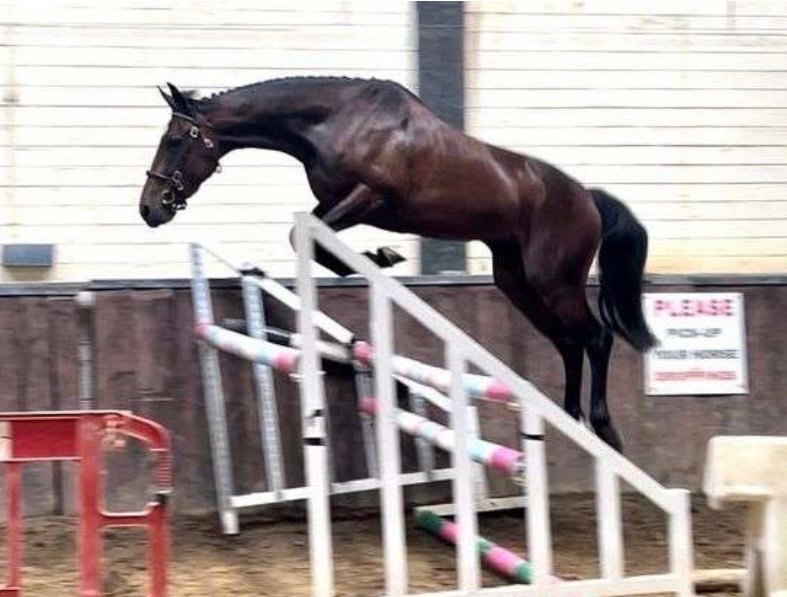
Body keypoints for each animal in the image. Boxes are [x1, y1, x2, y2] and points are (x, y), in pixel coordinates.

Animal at [139, 77, 657, 452]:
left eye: (175, 140)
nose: (150, 208)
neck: (333, 120)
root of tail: (588, 198)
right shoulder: (336, 203)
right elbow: (310, 238)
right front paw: (375, 259)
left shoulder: (367, 198)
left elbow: (307, 236)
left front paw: (380, 258)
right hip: (517, 282)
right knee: (570, 343)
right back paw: (571, 418)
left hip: (554, 282)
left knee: (596, 337)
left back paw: (604, 428)